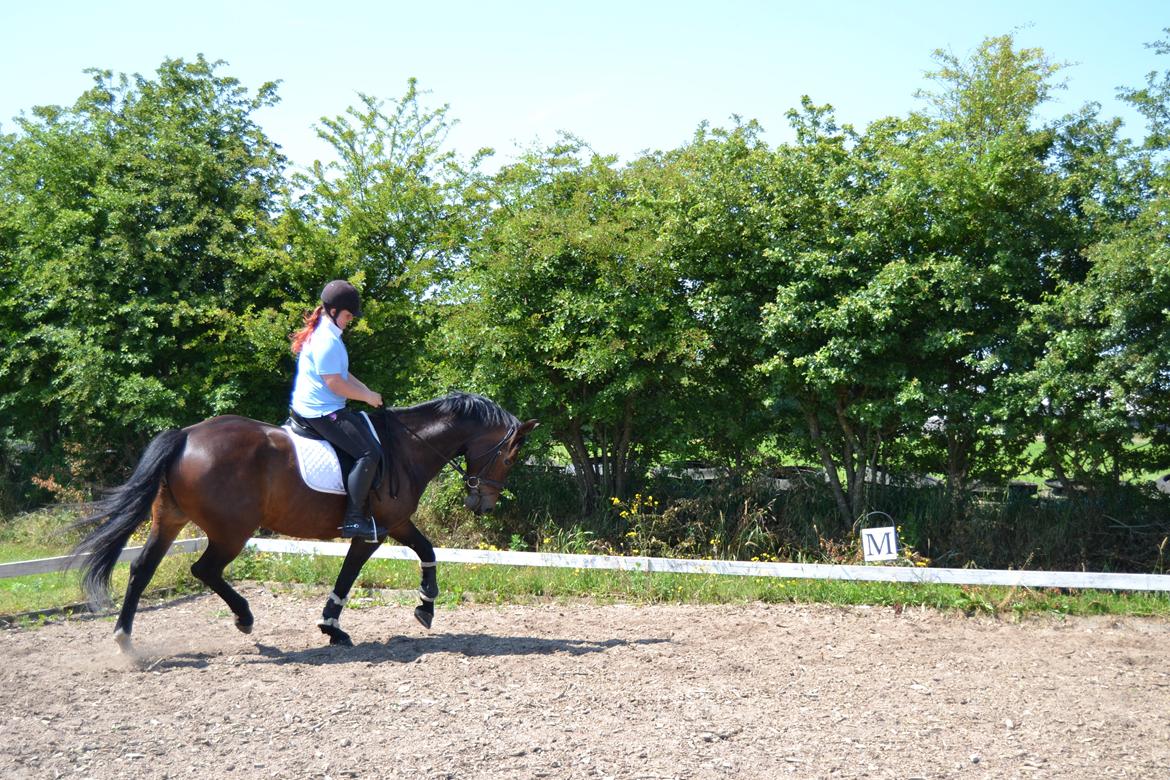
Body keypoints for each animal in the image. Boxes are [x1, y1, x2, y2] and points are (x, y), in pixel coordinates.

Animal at [68, 390, 535, 654]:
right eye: (510, 456)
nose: (483, 502)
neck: (406, 446)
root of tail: (185, 436)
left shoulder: (397, 524)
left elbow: (426, 549)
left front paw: (424, 607)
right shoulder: (375, 531)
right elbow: (350, 574)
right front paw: (333, 627)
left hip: (169, 520)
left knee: (141, 568)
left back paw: (125, 640)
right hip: (231, 531)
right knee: (204, 569)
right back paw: (244, 617)